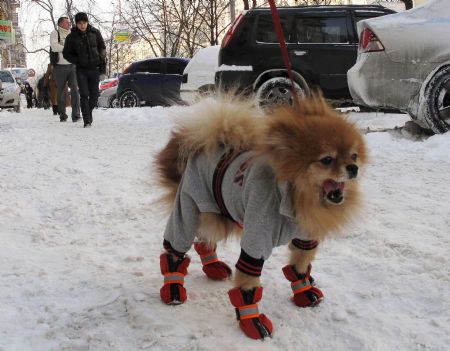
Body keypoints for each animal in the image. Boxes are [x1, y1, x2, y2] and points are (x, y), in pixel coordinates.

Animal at [154, 95, 366, 340]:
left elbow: (299, 268)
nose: (353, 167)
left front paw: (304, 293)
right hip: (189, 209)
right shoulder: (257, 239)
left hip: (216, 214)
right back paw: (173, 288)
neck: (293, 197)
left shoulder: (305, 238)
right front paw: (252, 321)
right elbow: (248, 287)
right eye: (327, 160)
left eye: (353, 155)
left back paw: (213, 267)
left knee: (205, 239)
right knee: (174, 250)